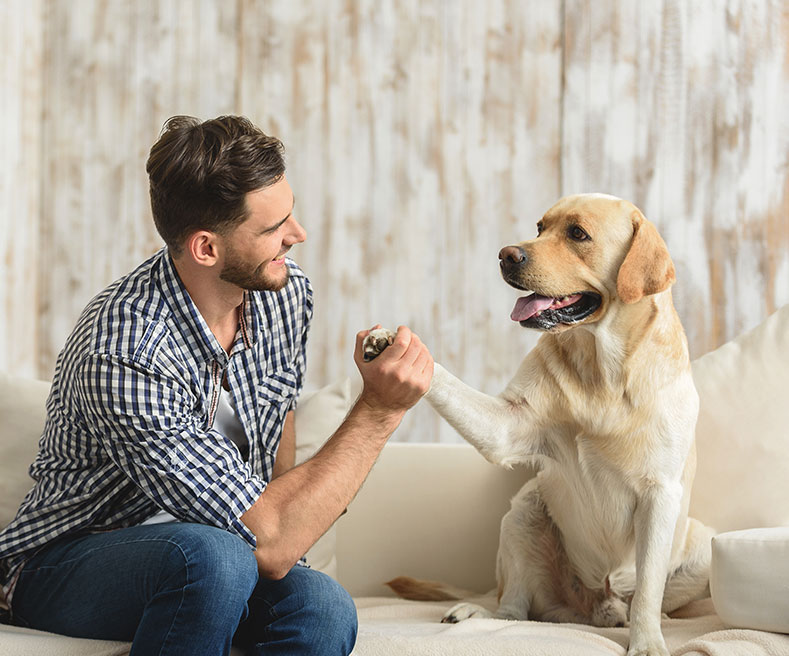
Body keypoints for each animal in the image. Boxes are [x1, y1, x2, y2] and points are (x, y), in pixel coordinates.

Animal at [364, 195, 716, 656]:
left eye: (577, 234)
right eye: (539, 227)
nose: (506, 255)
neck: (603, 370)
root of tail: (595, 609)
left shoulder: (661, 493)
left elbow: (648, 590)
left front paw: (647, 643)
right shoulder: (507, 424)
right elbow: (446, 380)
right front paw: (393, 343)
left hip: (703, 545)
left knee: (641, 597)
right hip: (524, 511)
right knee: (512, 609)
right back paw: (475, 612)